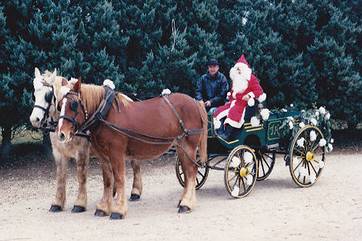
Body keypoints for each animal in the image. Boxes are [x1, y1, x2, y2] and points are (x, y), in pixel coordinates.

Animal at [55, 78, 206, 218]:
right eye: (59, 105)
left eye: (74, 104)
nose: (61, 134)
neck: (106, 114)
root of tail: (195, 102)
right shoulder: (103, 156)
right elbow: (108, 181)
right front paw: (103, 208)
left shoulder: (116, 153)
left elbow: (119, 179)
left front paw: (118, 210)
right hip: (181, 148)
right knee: (187, 172)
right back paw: (182, 201)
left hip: (189, 146)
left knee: (191, 171)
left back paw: (186, 204)